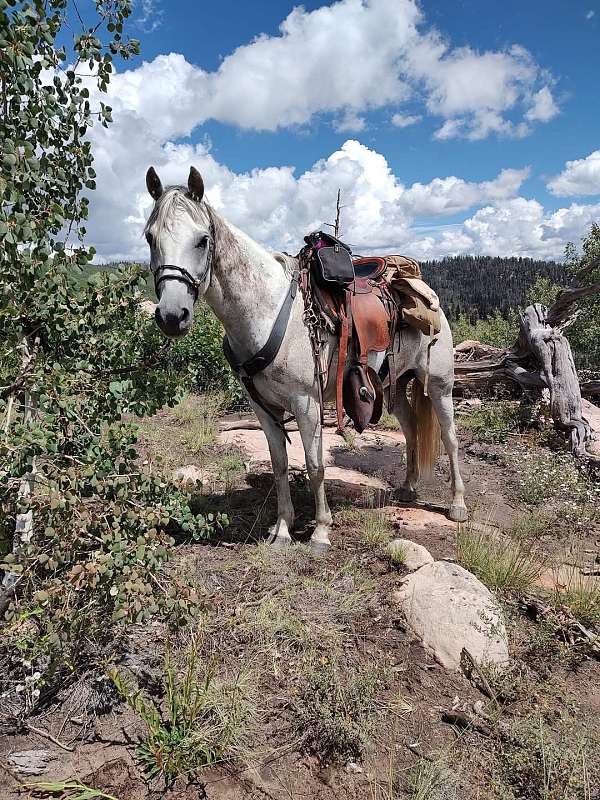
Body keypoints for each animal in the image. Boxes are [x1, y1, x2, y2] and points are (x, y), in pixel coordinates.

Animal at [143, 166, 467, 554]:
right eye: (150, 238)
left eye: (202, 240)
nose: (171, 316)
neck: (266, 310)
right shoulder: (262, 407)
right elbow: (281, 464)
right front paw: (283, 528)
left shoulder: (306, 402)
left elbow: (314, 465)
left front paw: (321, 532)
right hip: (395, 384)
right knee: (410, 428)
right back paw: (407, 487)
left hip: (438, 385)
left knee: (450, 437)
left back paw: (457, 505)